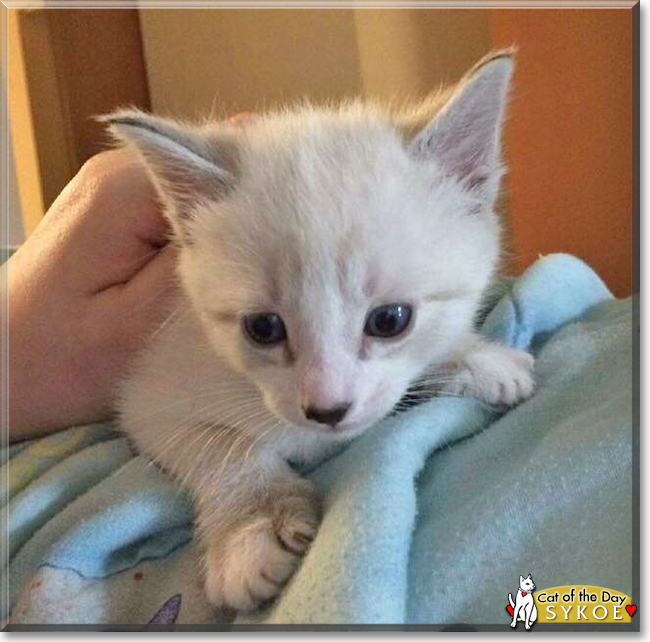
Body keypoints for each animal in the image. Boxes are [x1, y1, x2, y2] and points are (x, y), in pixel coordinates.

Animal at [106, 51, 532, 608]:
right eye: (264, 327)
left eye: (390, 320)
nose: (328, 410)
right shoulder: (151, 395)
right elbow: (221, 447)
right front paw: (252, 528)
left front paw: (478, 359)